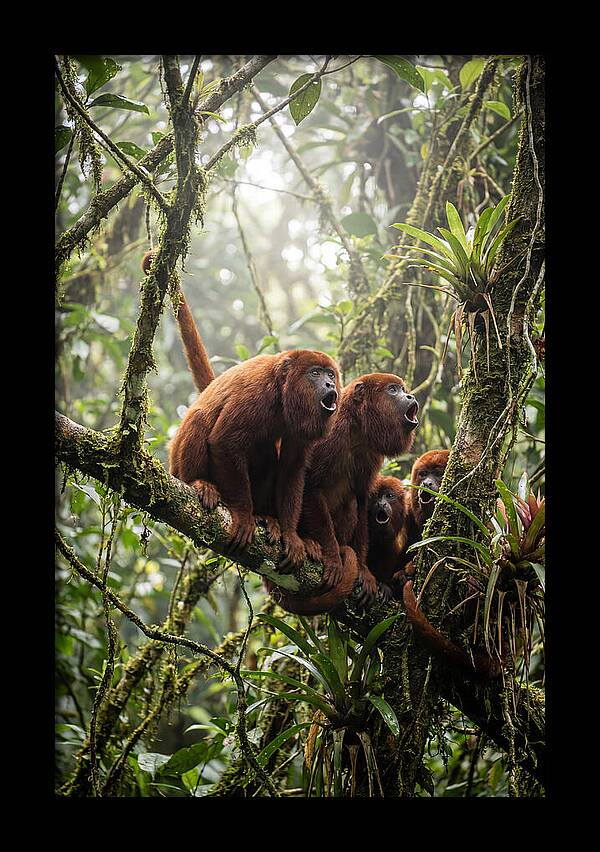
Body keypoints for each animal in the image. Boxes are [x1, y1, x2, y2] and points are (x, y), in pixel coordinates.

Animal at [271, 374, 419, 615]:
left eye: (404, 389)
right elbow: (310, 486)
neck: (356, 427)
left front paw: (363, 570)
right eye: (393, 390)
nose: (410, 396)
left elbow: (361, 499)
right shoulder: (330, 432)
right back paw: (311, 543)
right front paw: (332, 557)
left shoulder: (371, 454)